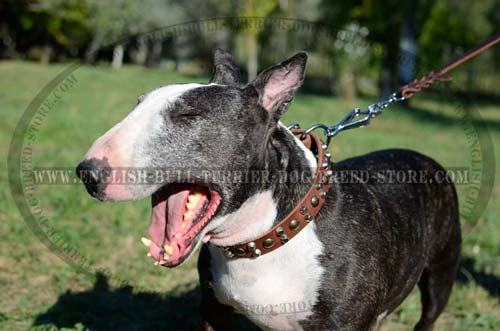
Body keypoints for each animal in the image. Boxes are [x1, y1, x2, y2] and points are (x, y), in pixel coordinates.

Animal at [76, 49, 462, 331]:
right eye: (136, 104)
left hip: (441, 275)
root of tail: (422, 156)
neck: (263, 239)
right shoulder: (213, 311)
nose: (87, 173)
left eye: (188, 115)